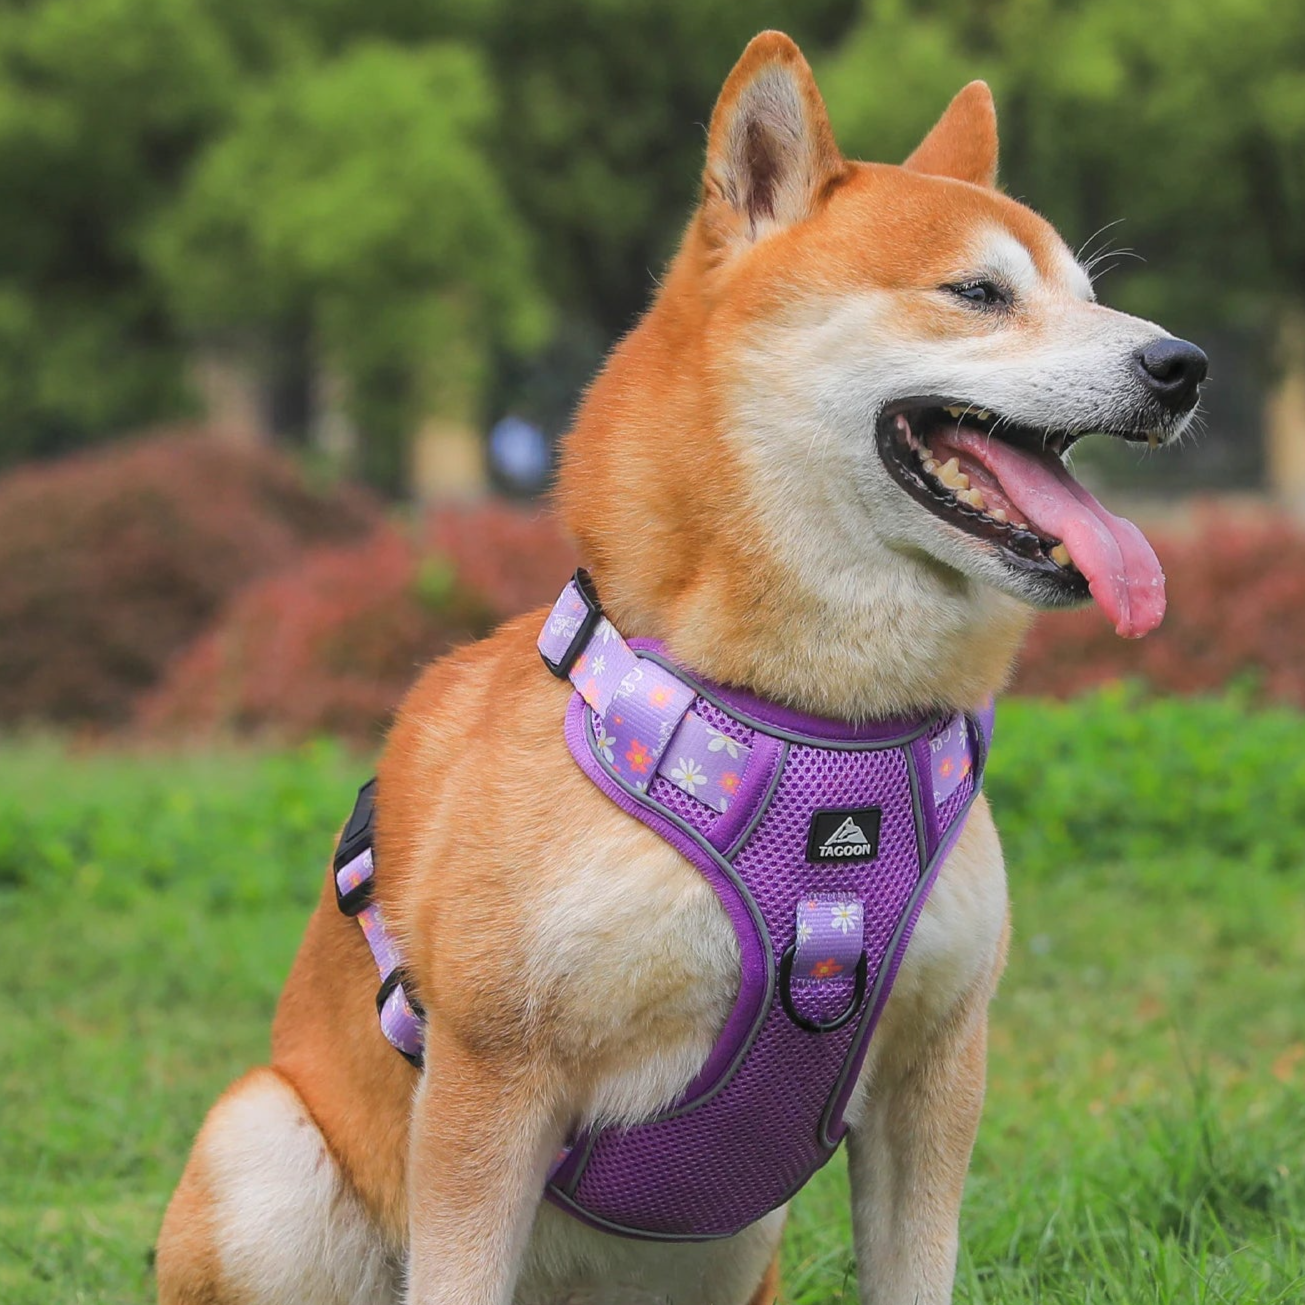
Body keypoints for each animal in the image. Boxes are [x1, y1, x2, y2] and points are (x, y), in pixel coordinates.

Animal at [157, 23, 1205, 1305]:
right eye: (978, 293)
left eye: (1091, 299)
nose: (1184, 363)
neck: (814, 724)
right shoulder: (488, 1080)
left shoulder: (937, 1071)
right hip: (264, 1148)